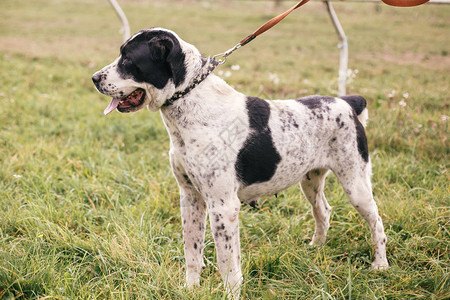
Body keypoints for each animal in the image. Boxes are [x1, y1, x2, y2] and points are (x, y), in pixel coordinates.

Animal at [93, 28, 388, 298]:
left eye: (128, 59)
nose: (94, 78)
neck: (192, 105)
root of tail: (348, 102)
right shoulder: (190, 198)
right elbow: (192, 252)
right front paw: (190, 289)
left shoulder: (223, 206)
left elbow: (228, 265)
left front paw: (231, 293)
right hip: (310, 181)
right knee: (324, 211)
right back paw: (316, 247)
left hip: (355, 184)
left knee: (377, 223)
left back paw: (380, 265)